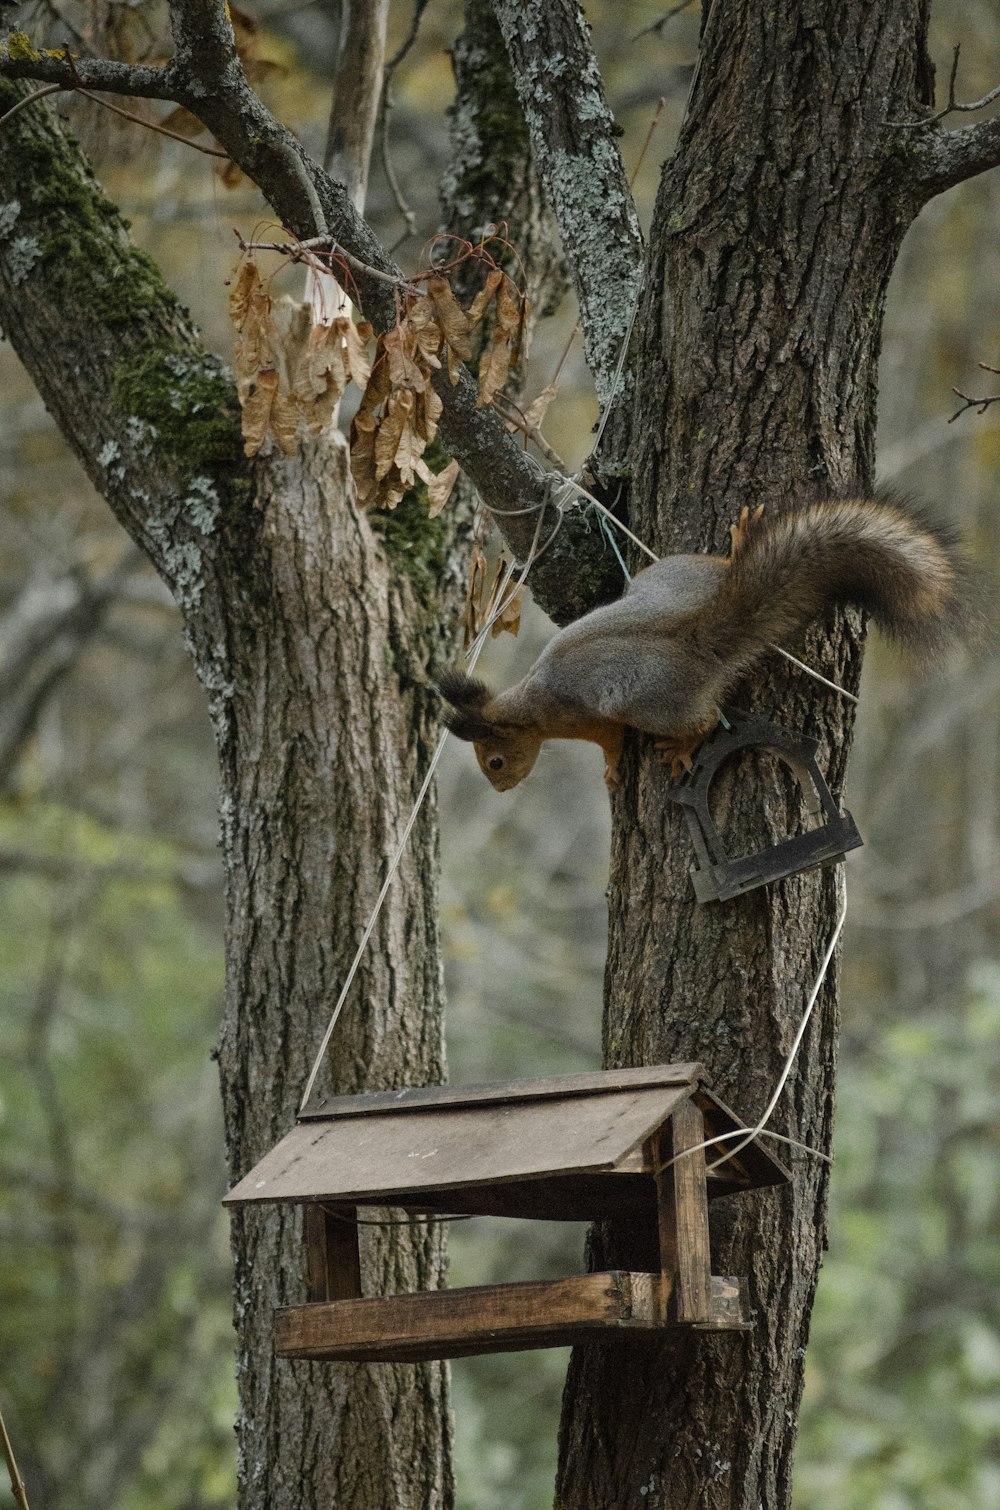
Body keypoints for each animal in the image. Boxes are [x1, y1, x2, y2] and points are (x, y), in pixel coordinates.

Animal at [441, 501, 972, 797]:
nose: (502, 789)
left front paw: (611, 774)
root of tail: (692, 638)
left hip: (655, 704)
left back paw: (682, 748)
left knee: (703, 720)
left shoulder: (587, 719)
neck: (529, 706)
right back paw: (741, 544)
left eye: (494, 762)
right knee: (726, 568)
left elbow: (611, 743)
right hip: (678, 573)